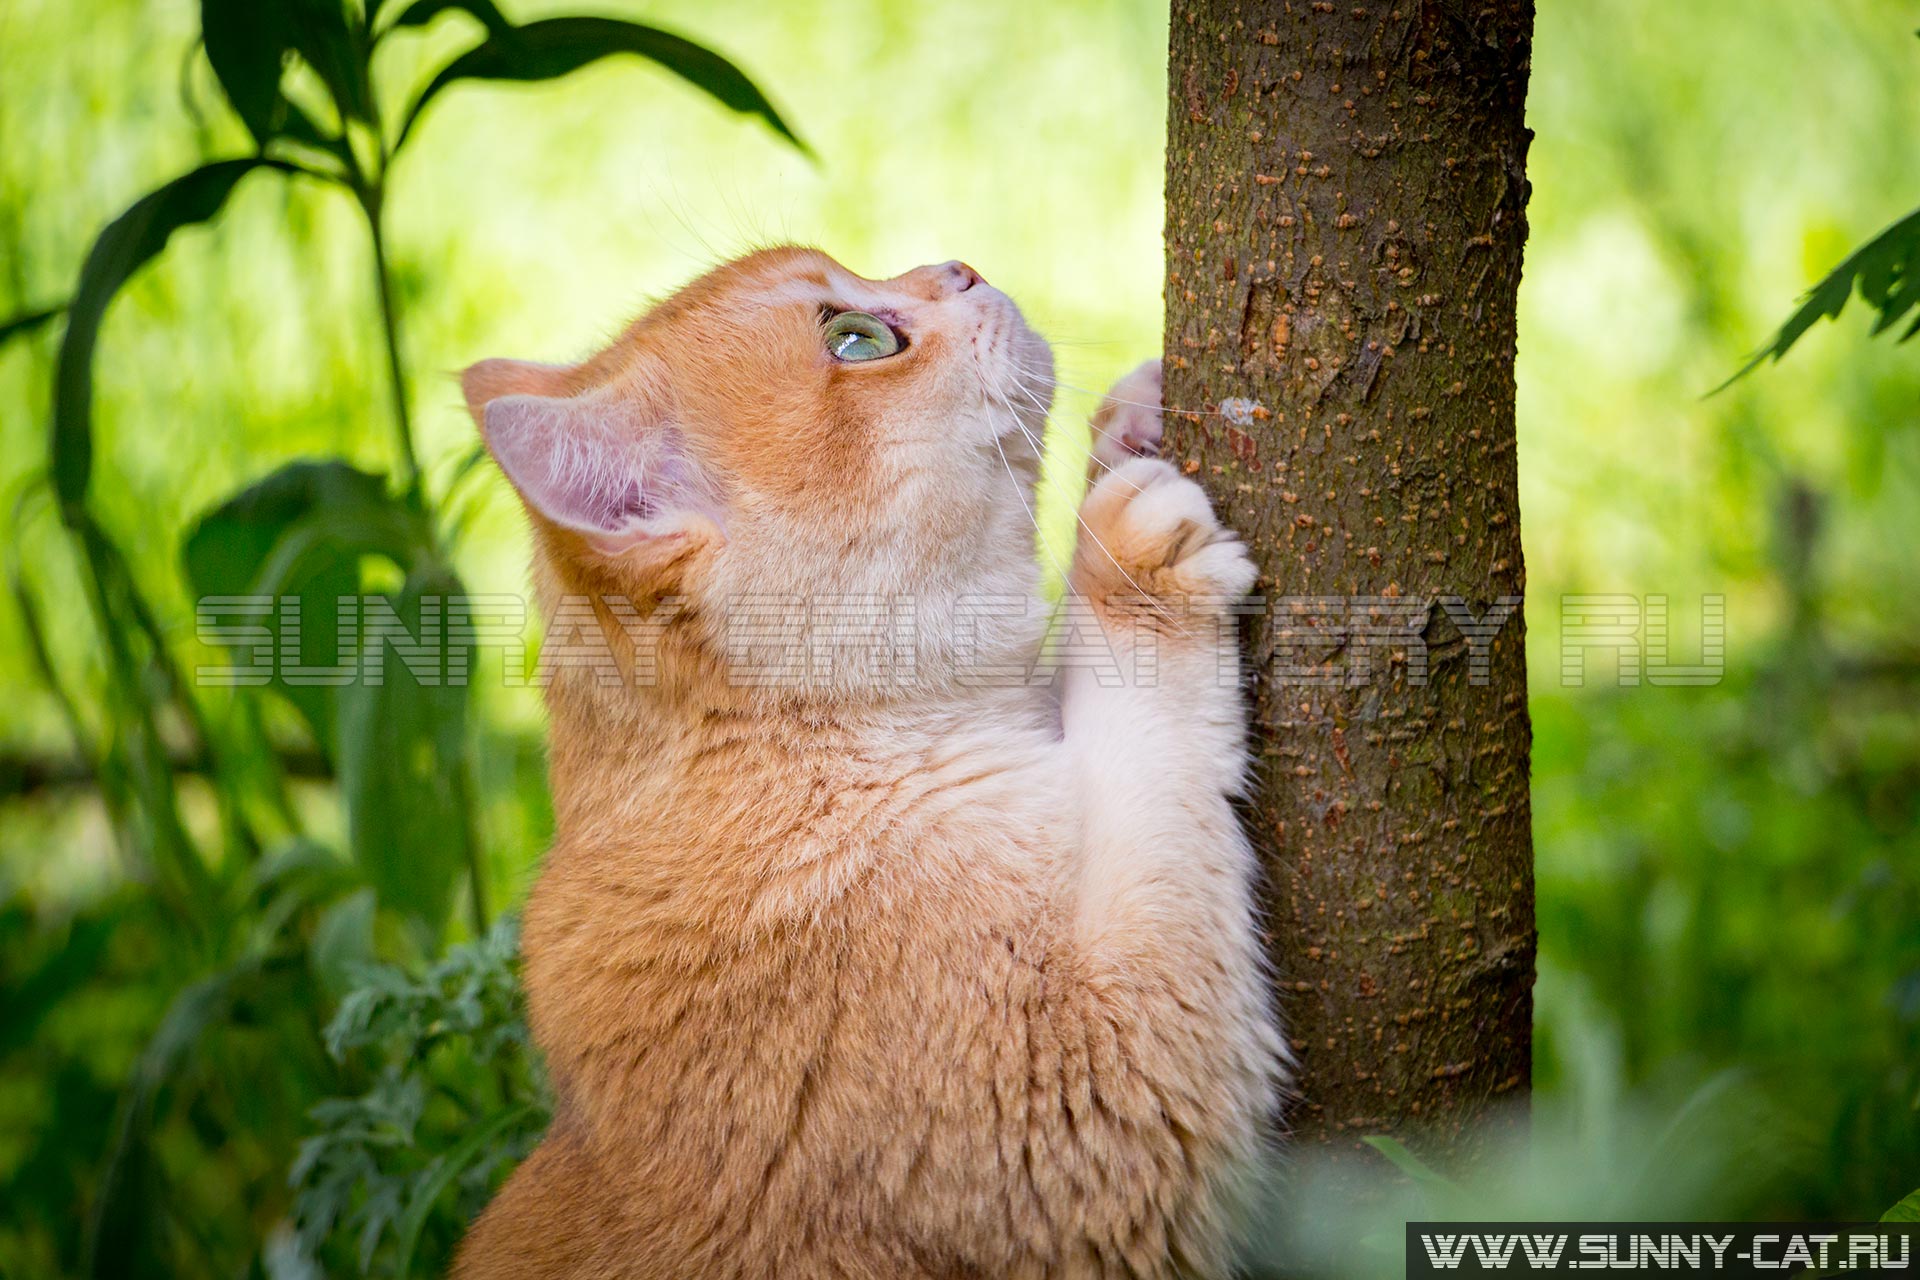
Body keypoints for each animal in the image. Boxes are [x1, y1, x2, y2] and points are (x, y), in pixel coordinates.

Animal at [455, 245, 1282, 1274]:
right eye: (857, 340)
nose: (958, 267)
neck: (798, 756)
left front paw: (1129, 429)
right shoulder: (1089, 1097)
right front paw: (1132, 563)